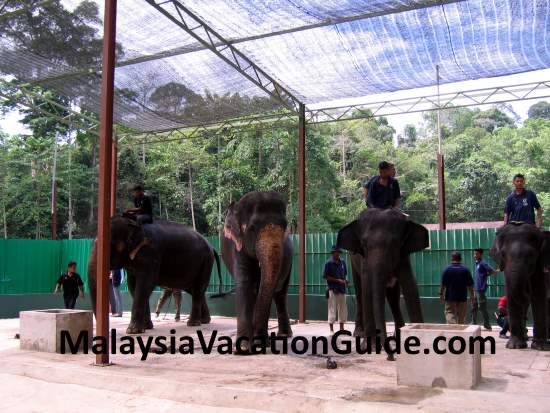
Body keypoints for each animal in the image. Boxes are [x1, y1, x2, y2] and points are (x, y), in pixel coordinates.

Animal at [88, 216, 222, 334]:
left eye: (109, 246)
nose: (109, 332)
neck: (135, 224)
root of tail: (211, 246)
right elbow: (133, 286)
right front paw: (146, 327)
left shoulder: (151, 253)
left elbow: (145, 284)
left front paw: (133, 331)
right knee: (195, 290)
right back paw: (204, 321)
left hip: (206, 261)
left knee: (198, 288)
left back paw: (193, 323)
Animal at [222, 191, 296, 350]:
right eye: (252, 228)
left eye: (285, 226)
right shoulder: (237, 246)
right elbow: (245, 283)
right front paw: (244, 348)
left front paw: (259, 344)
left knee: (280, 294)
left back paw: (284, 335)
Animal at [336, 208, 432, 346]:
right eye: (364, 244)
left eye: (394, 243)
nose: (383, 343)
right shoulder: (364, 259)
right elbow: (367, 288)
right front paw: (369, 346)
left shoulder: (403, 256)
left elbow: (410, 286)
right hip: (352, 260)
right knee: (360, 291)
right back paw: (359, 334)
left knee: (393, 297)